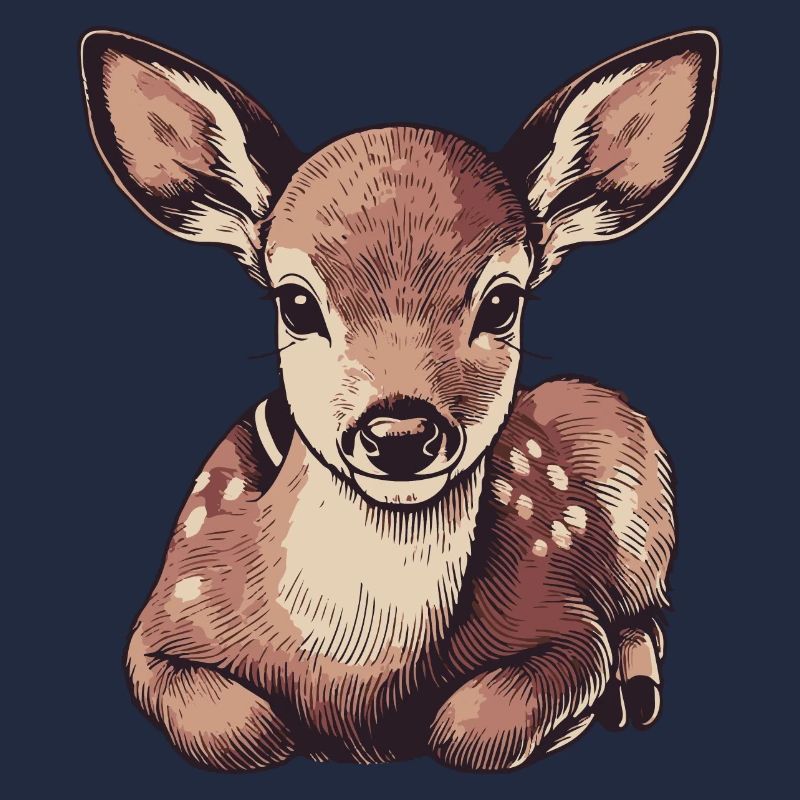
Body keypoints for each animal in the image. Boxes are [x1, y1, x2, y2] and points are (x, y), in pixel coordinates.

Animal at [80, 28, 717, 772]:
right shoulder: (158, 623)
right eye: (296, 303)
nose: (401, 435)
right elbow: (240, 729)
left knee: (645, 609)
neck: (353, 672)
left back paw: (634, 690)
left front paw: (573, 719)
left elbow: (473, 728)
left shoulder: (562, 617)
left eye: (502, 301)